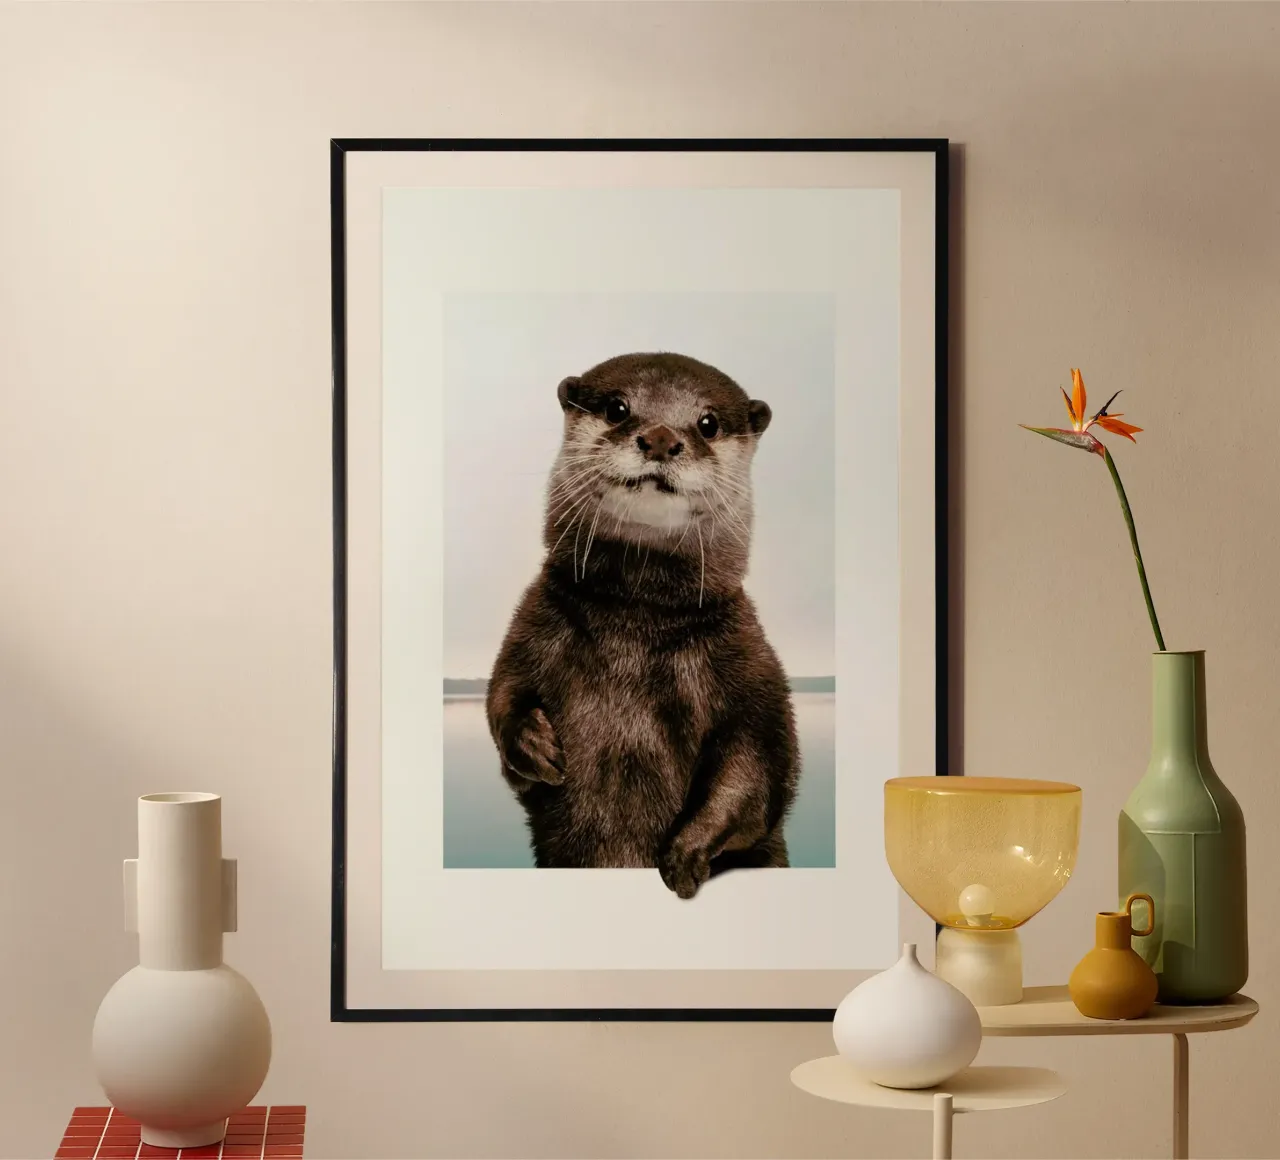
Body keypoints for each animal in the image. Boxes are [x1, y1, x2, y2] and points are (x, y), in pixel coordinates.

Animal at [485, 352, 799, 899]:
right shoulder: (531, 627)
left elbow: (756, 772)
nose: (659, 438)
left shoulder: (752, 668)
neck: (635, 625)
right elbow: (502, 694)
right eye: (617, 407)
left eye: (708, 423)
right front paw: (532, 744)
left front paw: (685, 852)